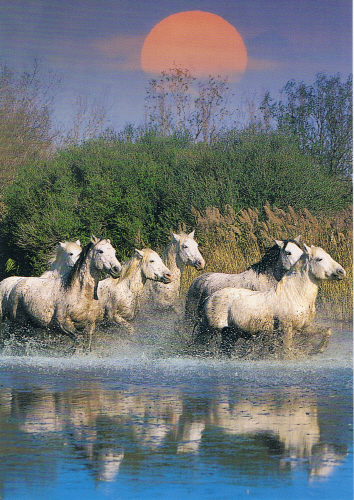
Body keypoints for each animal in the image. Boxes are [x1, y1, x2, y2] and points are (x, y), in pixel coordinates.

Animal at [199, 245, 346, 356]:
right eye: (319, 259)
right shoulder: (286, 329)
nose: (341, 272)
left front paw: (318, 350)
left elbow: (327, 331)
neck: (295, 294)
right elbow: (287, 350)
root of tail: (209, 298)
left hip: (230, 334)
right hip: (210, 331)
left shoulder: (304, 327)